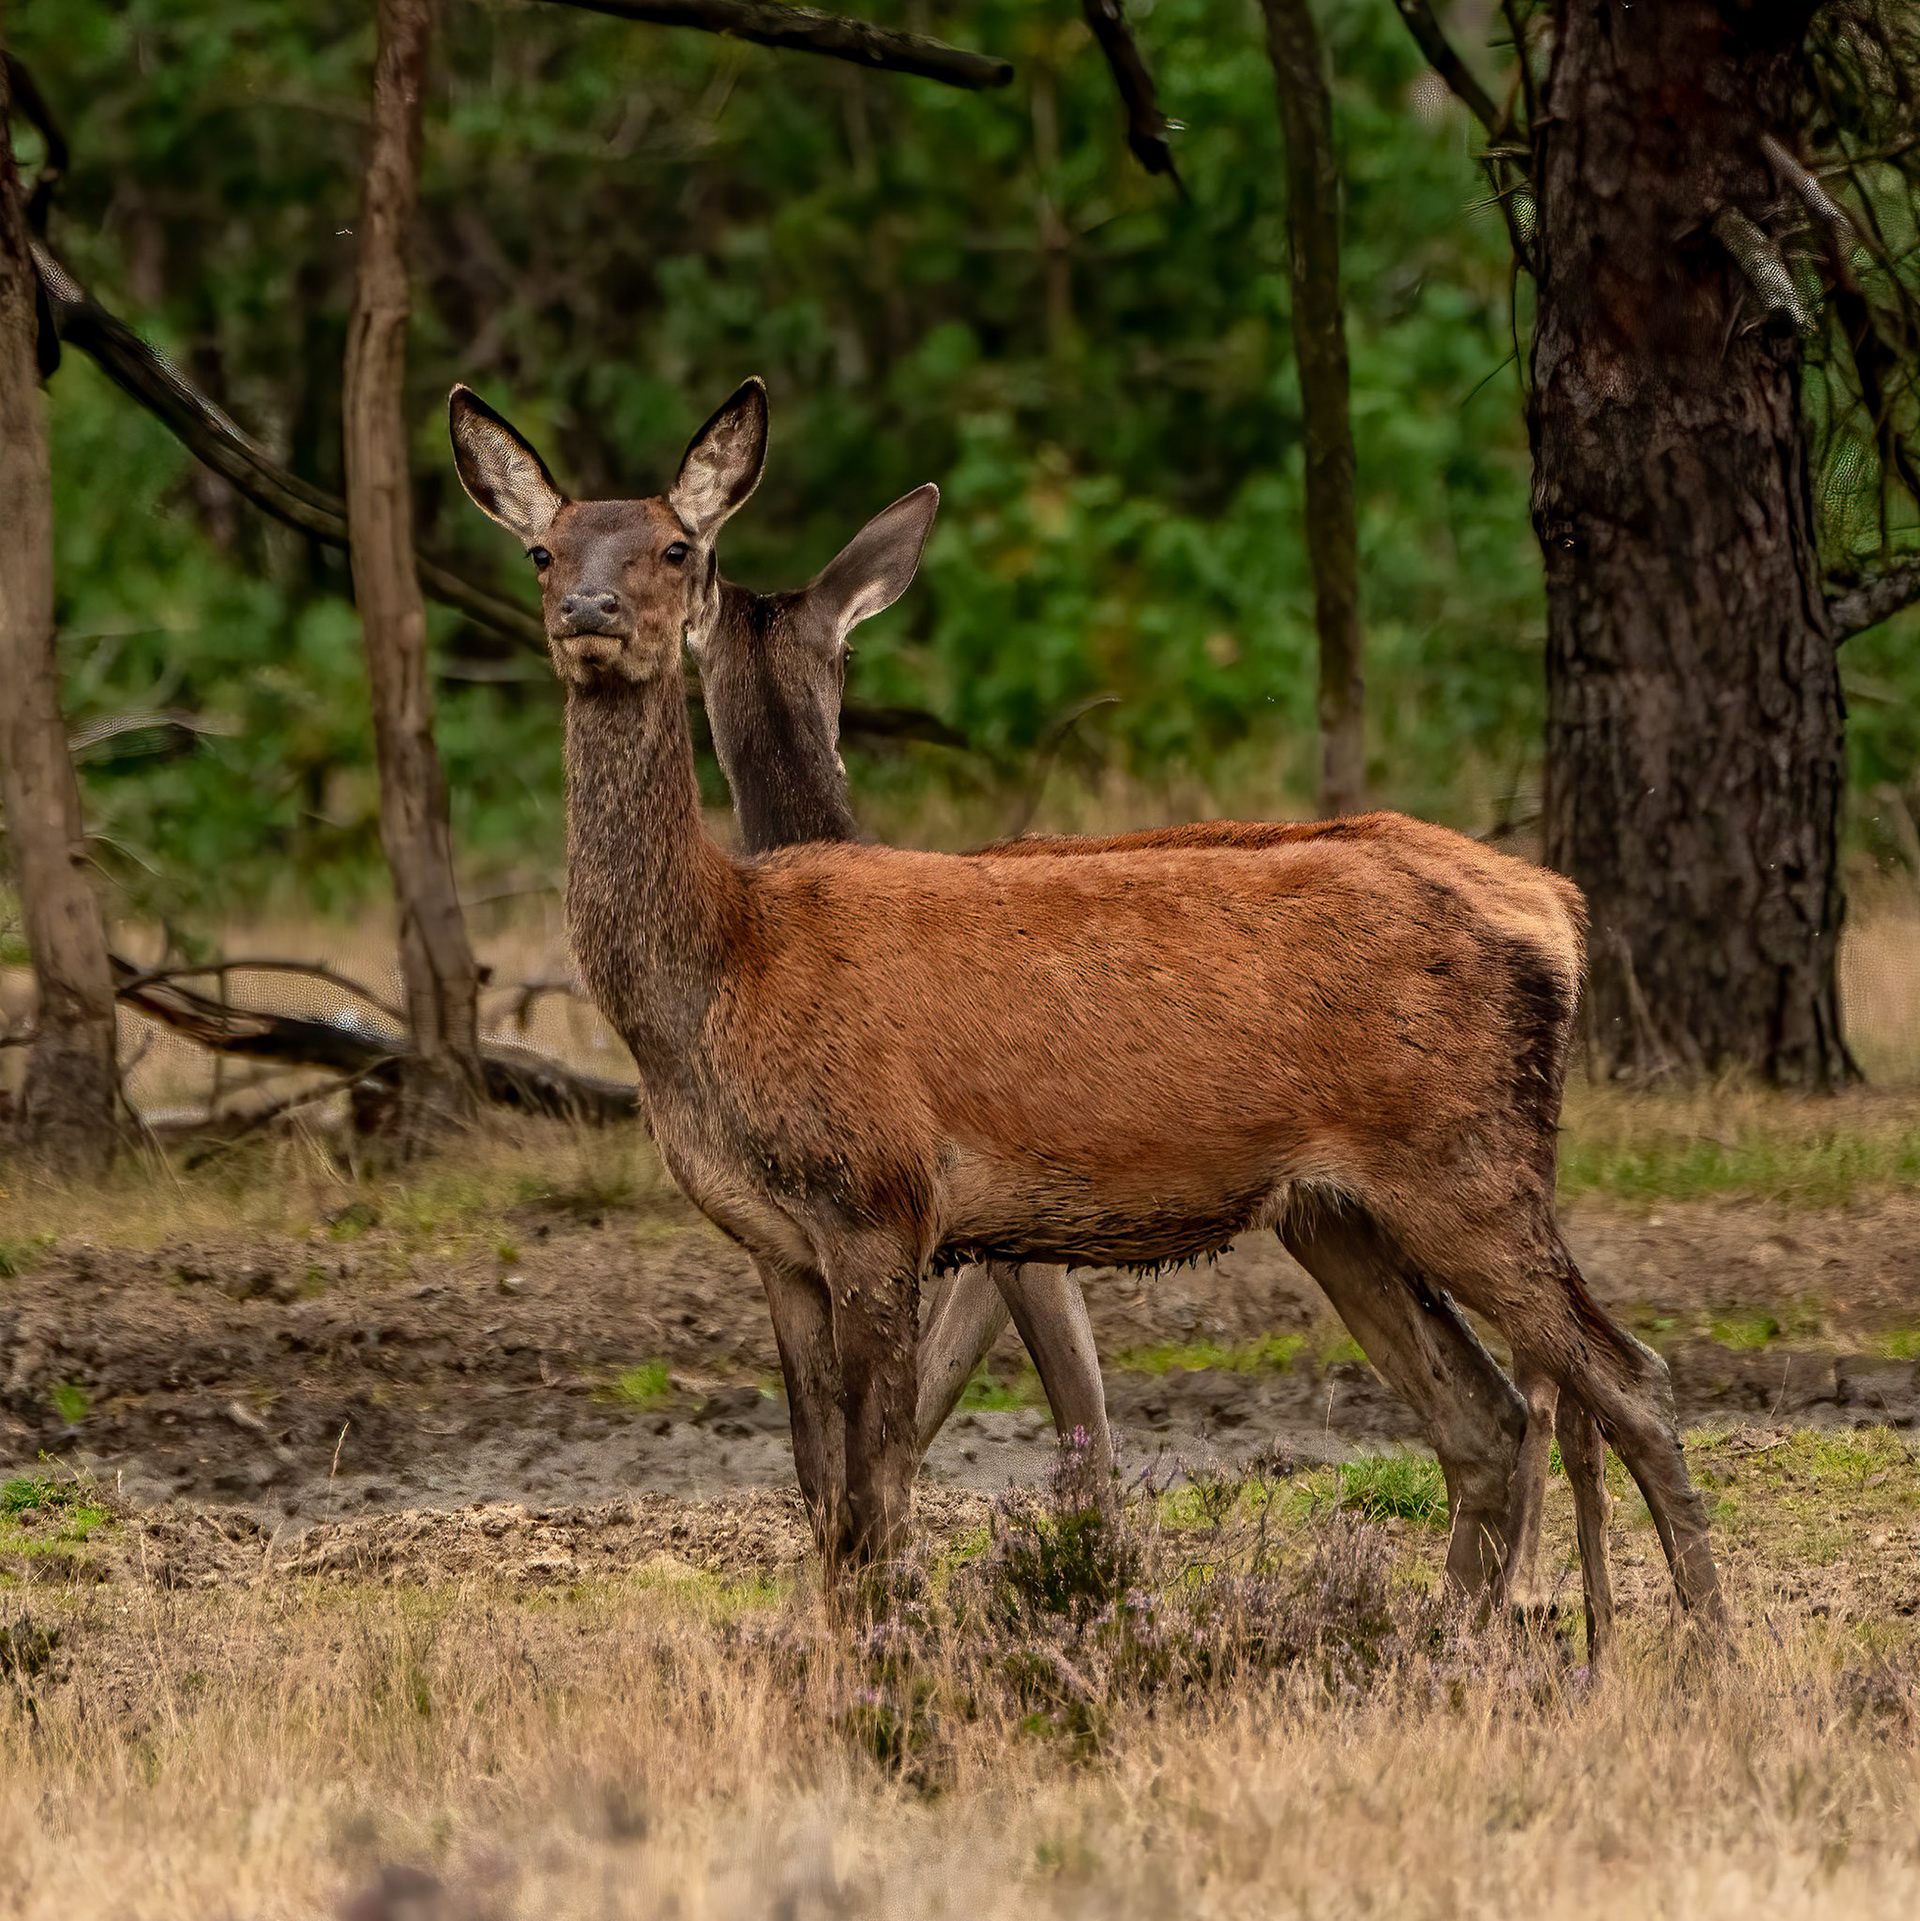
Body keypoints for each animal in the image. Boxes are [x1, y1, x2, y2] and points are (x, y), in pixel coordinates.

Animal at [448, 375, 1726, 1649]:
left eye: (677, 544)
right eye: (542, 549)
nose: (592, 608)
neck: (718, 978)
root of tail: (1557, 907)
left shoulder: (884, 1201)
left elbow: (883, 1485)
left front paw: (894, 1665)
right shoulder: (778, 1245)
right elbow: (825, 1499)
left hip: (1467, 1159)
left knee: (1631, 1378)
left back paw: (1706, 1652)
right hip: (1339, 1208)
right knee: (1486, 1417)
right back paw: (1449, 1654)